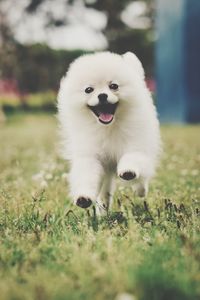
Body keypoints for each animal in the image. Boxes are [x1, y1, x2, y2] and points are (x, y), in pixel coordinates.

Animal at [57, 51, 161, 213]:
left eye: (113, 86)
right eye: (88, 90)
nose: (102, 95)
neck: (108, 127)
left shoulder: (136, 144)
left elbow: (133, 158)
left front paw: (128, 171)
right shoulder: (91, 156)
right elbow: (86, 175)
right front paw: (83, 197)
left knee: (143, 176)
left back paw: (141, 190)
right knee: (104, 193)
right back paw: (103, 210)